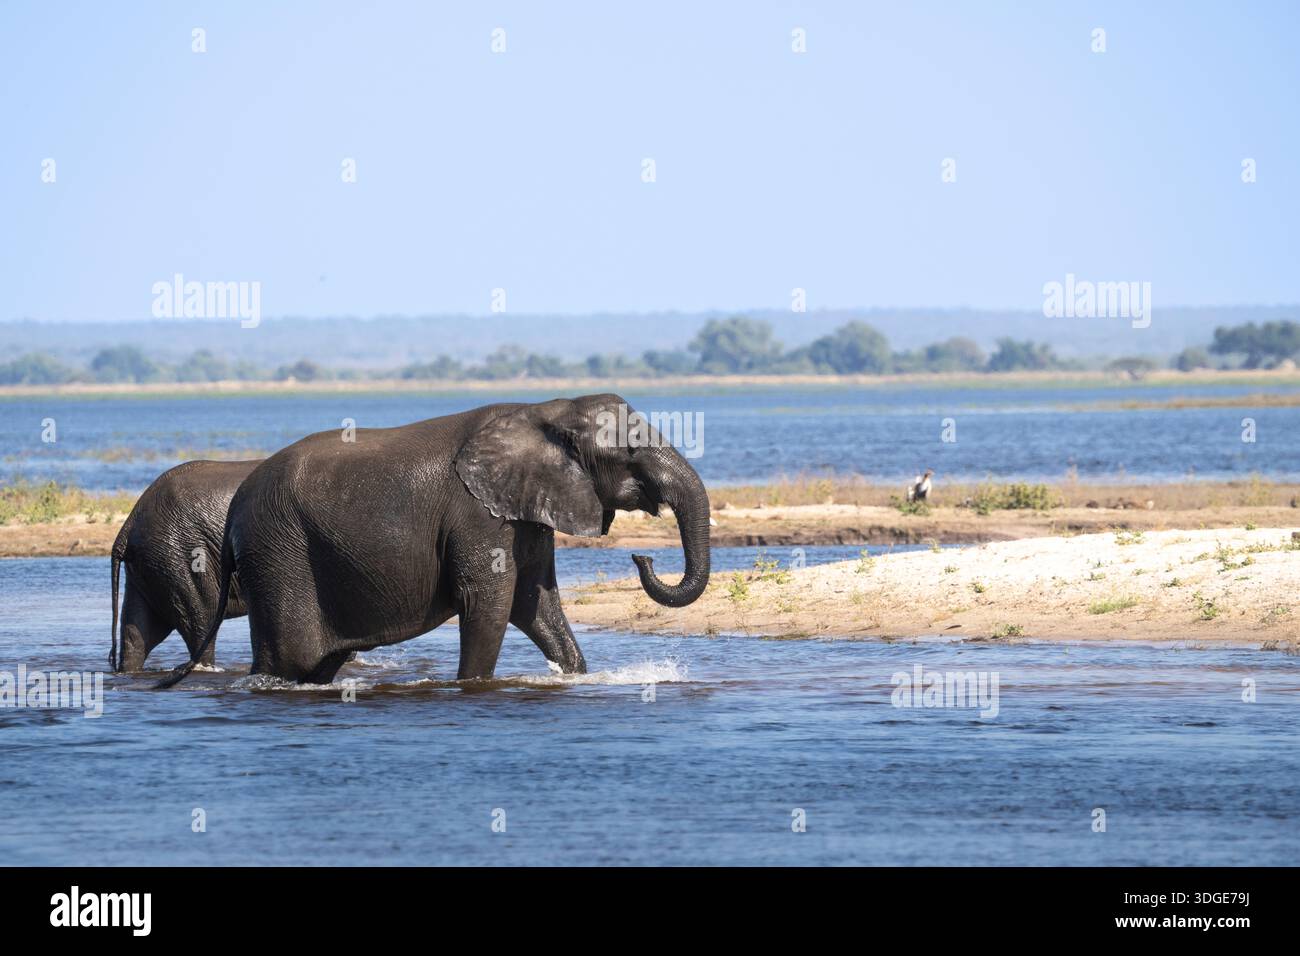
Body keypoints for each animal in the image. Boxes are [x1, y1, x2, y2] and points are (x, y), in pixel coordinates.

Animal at [157, 394, 710, 688]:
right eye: (632, 452)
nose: (642, 556)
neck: (545, 410)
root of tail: (235, 508)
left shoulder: (522, 514)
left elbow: (536, 604)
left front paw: (573, 675)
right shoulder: (478, 514)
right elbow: (490, 603)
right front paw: (471, 688)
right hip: (278, 553)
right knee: (289, 661)